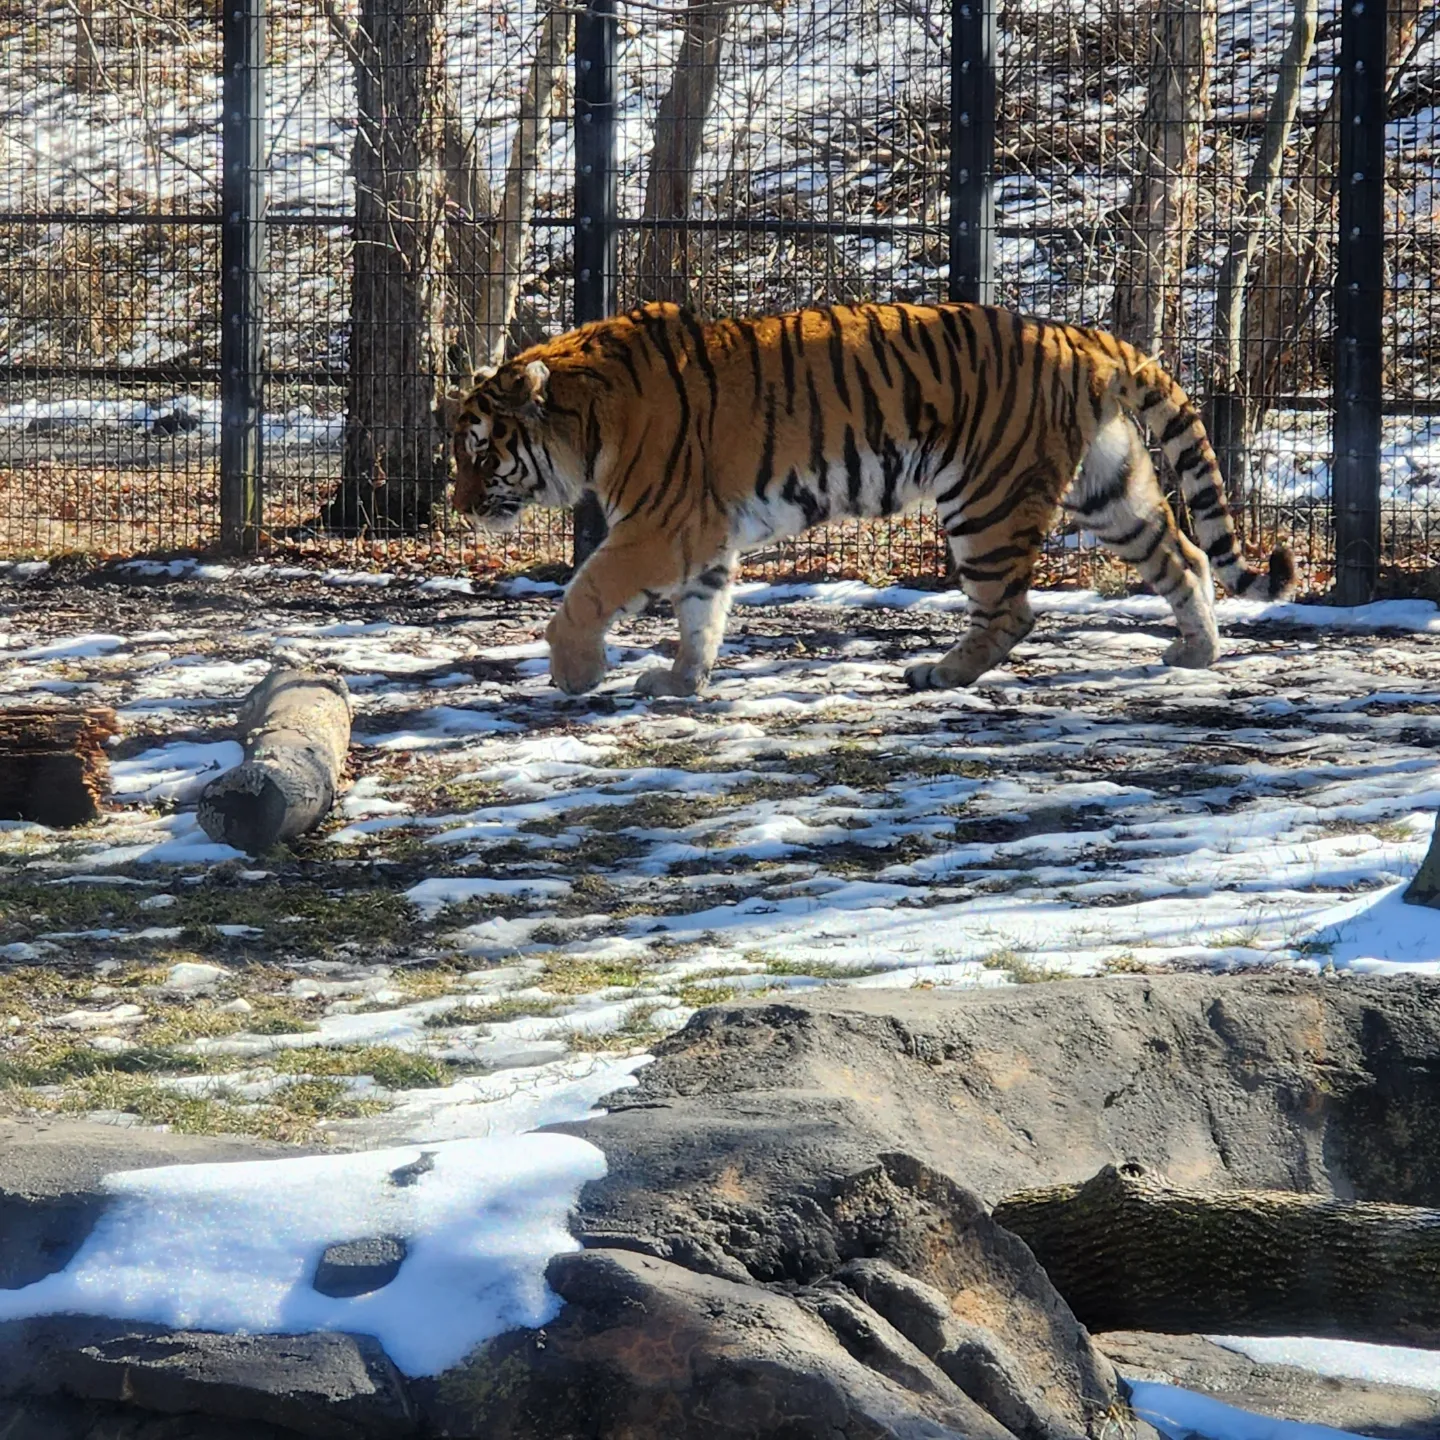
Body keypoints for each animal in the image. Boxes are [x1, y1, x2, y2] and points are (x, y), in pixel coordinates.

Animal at [440, 301, 1295, 698]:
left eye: (479, 450)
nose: (457, 504)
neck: (585, 418)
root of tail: (1077, 335)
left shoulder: (656, 528)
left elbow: (583, 595)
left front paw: (575, 672)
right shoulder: (703, 538)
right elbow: (701, 617)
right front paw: (681, 683)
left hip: (984, 501)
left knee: (1012, 610)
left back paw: (940, 673)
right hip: (1109, 488)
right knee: (1184, 555)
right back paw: (1195, 651)